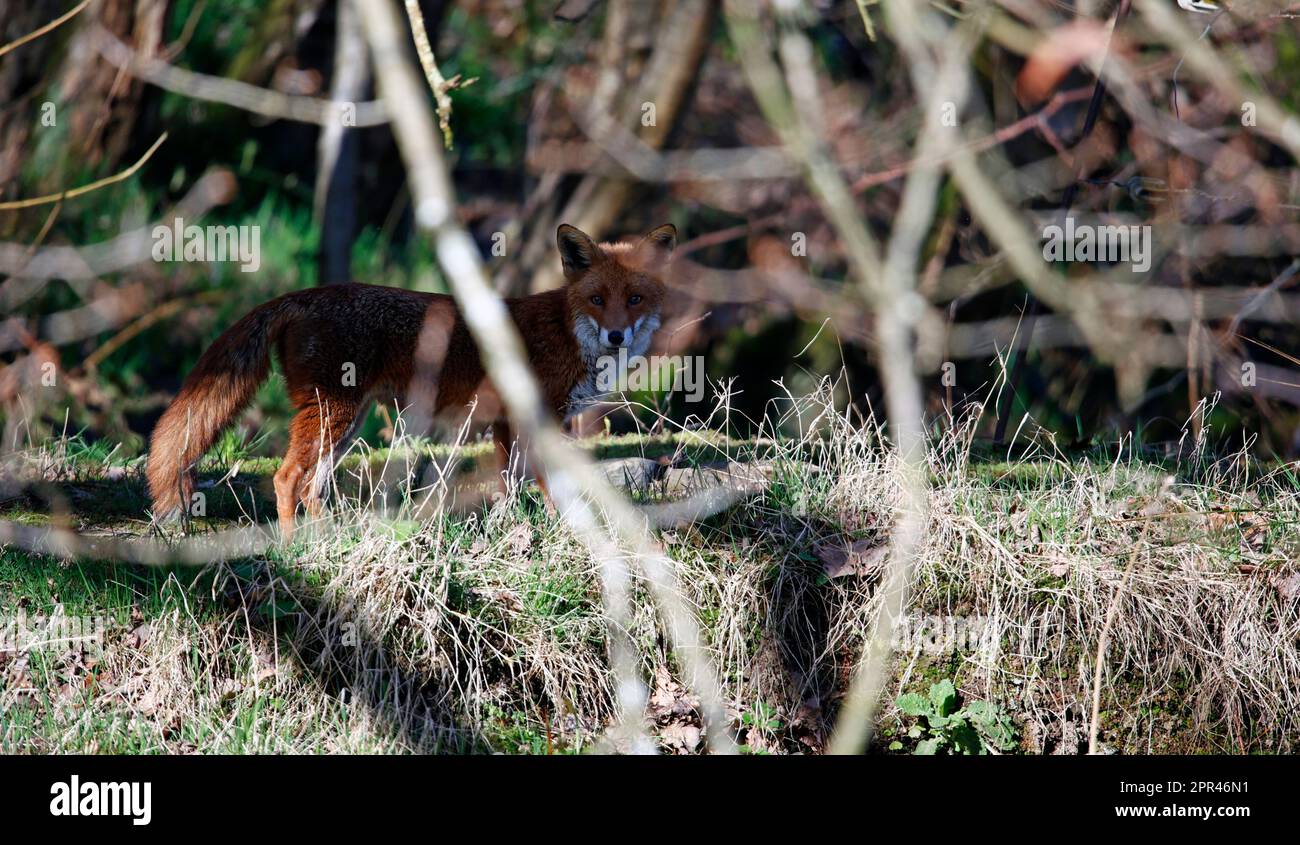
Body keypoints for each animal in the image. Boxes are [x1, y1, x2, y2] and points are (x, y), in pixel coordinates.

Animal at [146, 222, 677, 540]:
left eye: (633, 299)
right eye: (596, 299)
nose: (615, 335)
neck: (567, 335)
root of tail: (303, 294)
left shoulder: (523, 423)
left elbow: (520, 484)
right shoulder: (524, 419)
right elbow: (537, 484)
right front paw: (554, 530)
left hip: (346, 423)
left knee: (312, 486)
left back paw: (326, 537)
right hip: (333, 414)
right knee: (286, 477)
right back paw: (295, 544)